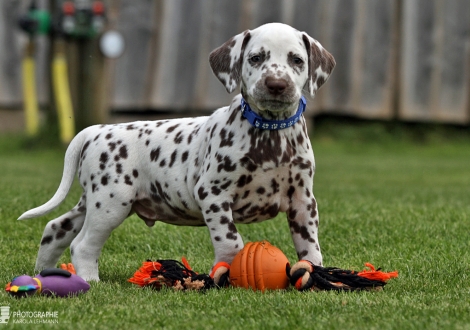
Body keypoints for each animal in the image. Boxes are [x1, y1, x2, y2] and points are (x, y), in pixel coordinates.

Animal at [18, 22, 334, 282]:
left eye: (297, 60)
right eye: (256, 58)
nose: (277, 85)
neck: (270, 135)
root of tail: (95, 130)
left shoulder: (303, 201)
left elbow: (309, 245)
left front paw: (315, 274)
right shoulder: (213, 194)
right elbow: (231, 241)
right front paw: (226, 276)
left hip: (92, 202)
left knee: (56, 227)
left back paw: (43, 272)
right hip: (111, 202)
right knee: (82, 245)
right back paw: (89, 282)